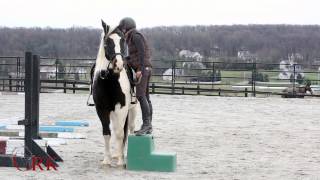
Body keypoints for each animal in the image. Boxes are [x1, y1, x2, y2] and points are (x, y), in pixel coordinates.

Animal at [92, 20, 138, 167]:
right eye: (107, 42)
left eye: (123, 41)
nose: (118, 64)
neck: (109, 81)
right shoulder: (102, 109)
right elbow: (107, 133)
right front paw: (107, 160)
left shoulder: (121, 108)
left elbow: (119, 133)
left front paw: (120, 161)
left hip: (132, 109)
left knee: (130, 129)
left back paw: (124, 154)